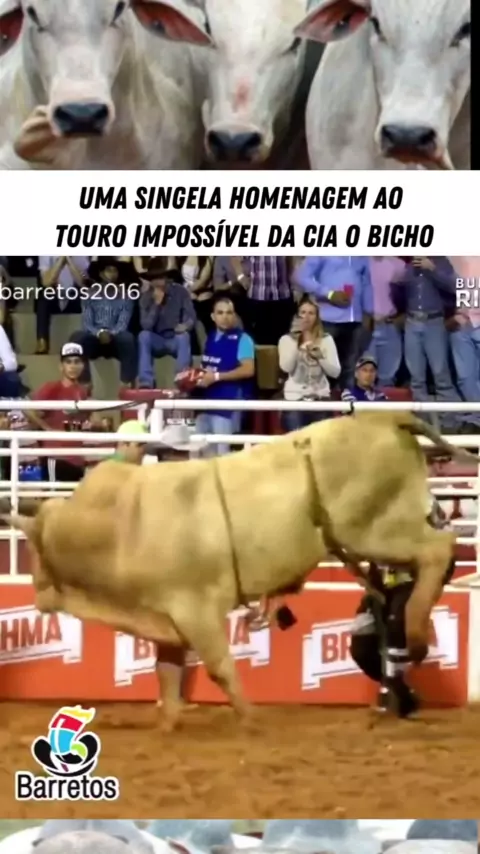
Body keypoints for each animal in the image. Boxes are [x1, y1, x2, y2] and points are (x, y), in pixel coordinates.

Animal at [3, 411, 471, 730]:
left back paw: (415, 634)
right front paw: (168, 725)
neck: (120, 526)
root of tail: (384, 416)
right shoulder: (166, 618)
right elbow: (167, 675)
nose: (37, 594)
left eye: (37, 552)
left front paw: (251, 718)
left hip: (374, 531)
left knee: (437, 550)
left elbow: (219, 667)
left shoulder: (195, 609)